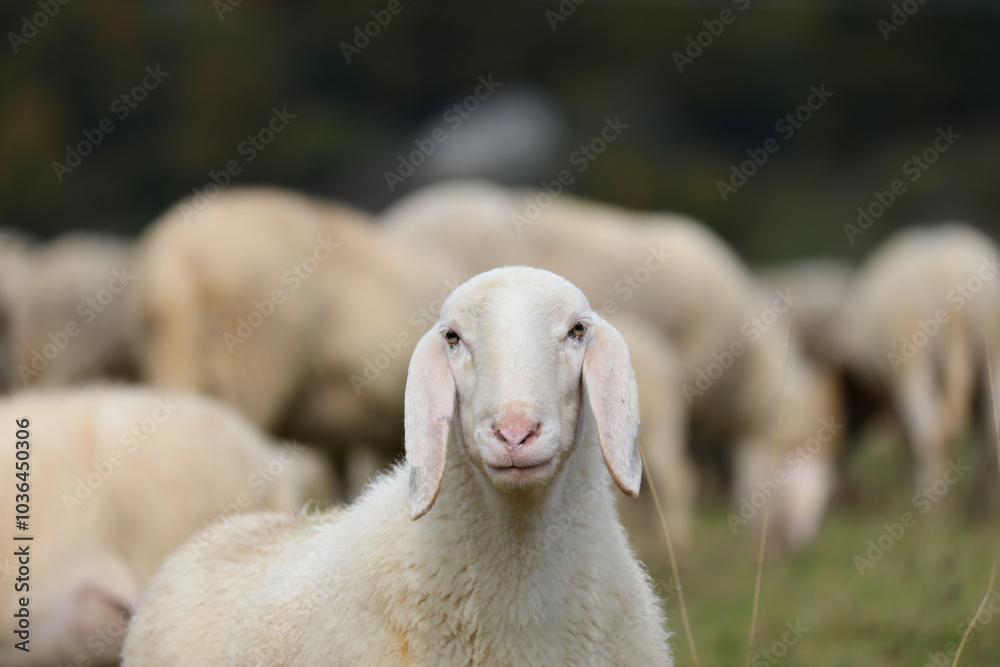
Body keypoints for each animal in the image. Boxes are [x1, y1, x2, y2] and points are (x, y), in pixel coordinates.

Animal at [842, 224, 1000, 490]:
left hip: (911, 362)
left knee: (929, 432)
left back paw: (932, 496)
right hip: (992, 355)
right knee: (991, 432)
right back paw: (974, 496)